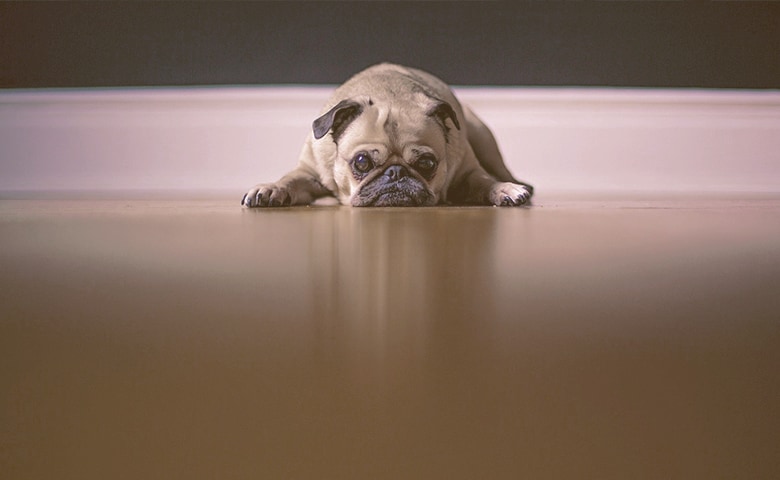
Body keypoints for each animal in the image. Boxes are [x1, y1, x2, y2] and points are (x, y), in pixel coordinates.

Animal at [241, 62, 532, 207]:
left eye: (427, 164)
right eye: (362, 162)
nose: (396, 172)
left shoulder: (467, 171)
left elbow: (484, 180)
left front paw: (503, 189)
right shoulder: (308, 172)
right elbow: (289, 179)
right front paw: (271, 188)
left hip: (483, 138)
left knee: (499, 169)